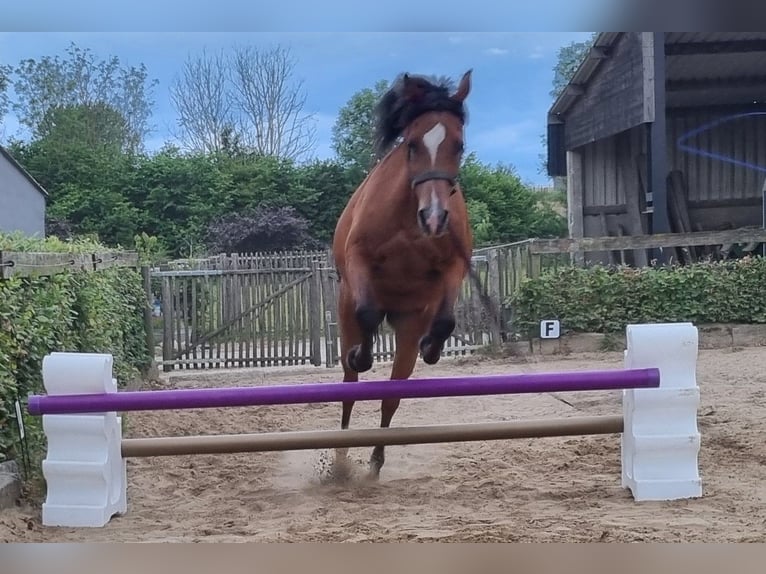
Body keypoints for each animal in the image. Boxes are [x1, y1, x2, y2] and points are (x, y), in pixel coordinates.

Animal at [334, 70, 476, 480]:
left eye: (459, 146)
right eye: (412, 145)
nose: (434, 217)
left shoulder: (453, 267)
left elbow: (445, 321)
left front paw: (434, 346)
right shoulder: (359, 260)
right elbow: (367, 316)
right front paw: (360, 356)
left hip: (408, 325)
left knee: (392, 396)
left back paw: (376, 460)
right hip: (346, 313)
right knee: (350, 386)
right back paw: (340, 458)